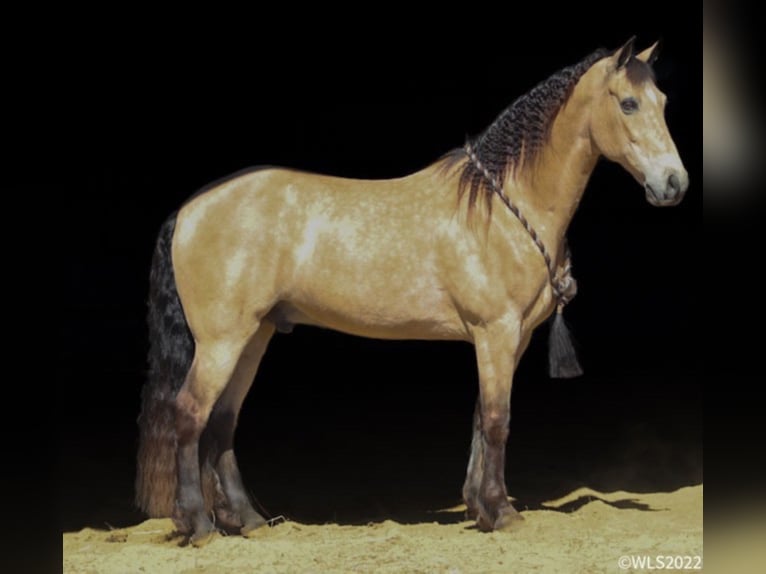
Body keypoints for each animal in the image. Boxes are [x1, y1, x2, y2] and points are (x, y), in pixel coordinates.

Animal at [136, 38, 688, 548]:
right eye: (628, 103)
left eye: (662, 100)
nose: (673, 183)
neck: (502, 206)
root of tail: (189, 209)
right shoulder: (496, 333)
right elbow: (497, 419)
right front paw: (502, 512)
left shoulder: (509, 341)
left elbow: (479, 418)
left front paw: (478, 508)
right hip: (222, 341)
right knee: (191, 415)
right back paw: (199, 525)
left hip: (254, 337)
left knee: (222, 423)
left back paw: (247, 521)